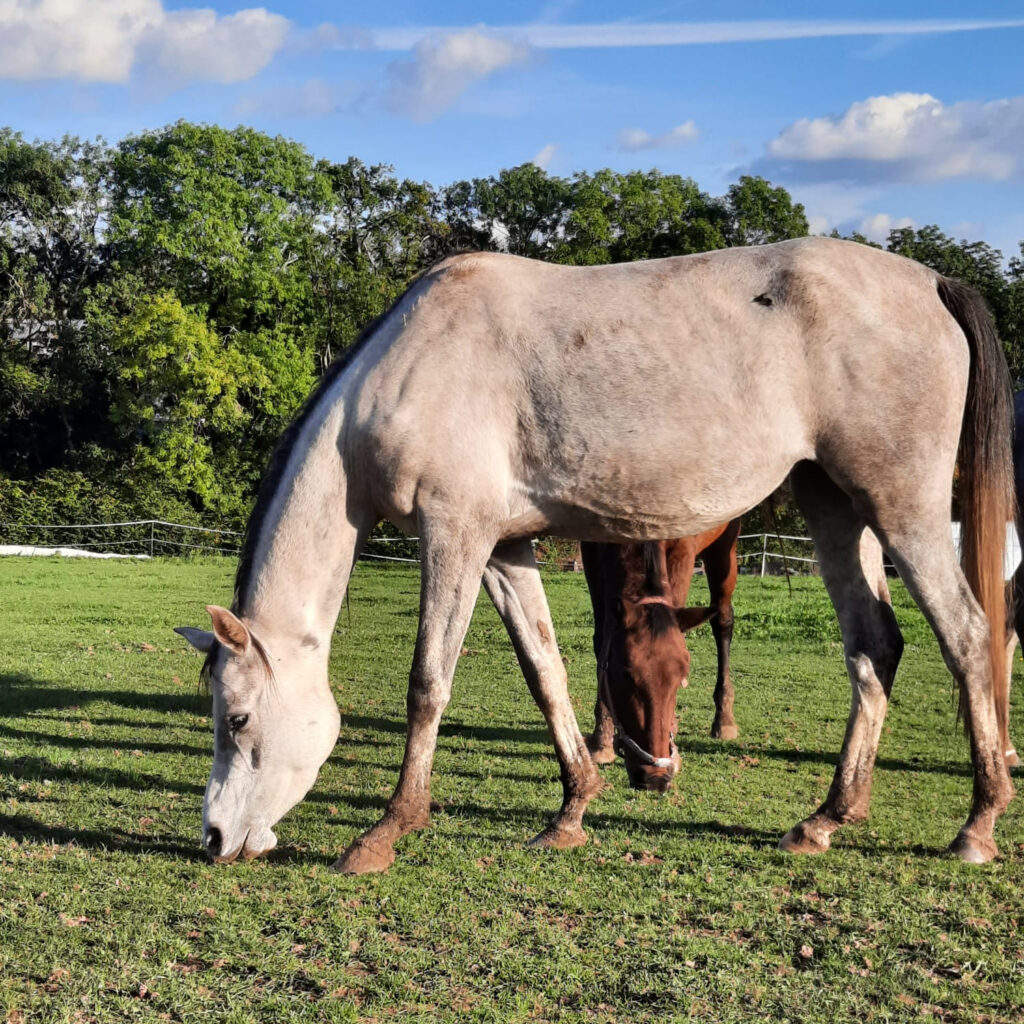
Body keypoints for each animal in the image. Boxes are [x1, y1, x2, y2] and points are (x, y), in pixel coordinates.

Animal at [581, 520, 742, 792]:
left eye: (681, 680)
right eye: (624, 675)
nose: (654, 778)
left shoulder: (684, 547)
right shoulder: (591, 549)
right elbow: (602, 638)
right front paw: (602, 738)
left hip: (724, 548)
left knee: (722, 621)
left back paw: (724, 718)